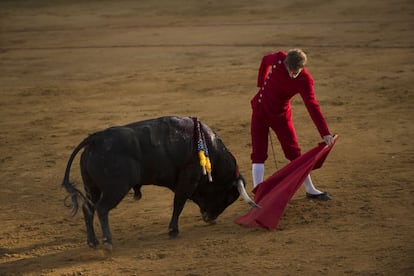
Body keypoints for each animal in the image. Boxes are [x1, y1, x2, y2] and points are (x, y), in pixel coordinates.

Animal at [62, 116, 258, 250]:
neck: (209, 148)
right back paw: (107, 241)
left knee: (88, 208)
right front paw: (173, 231)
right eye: (227, 197)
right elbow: (178, 204)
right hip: (115, 189)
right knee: (102, 208)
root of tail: (96, 138)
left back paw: (93, 242)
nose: (210, 218)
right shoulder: (188, 181)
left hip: (92, 188)